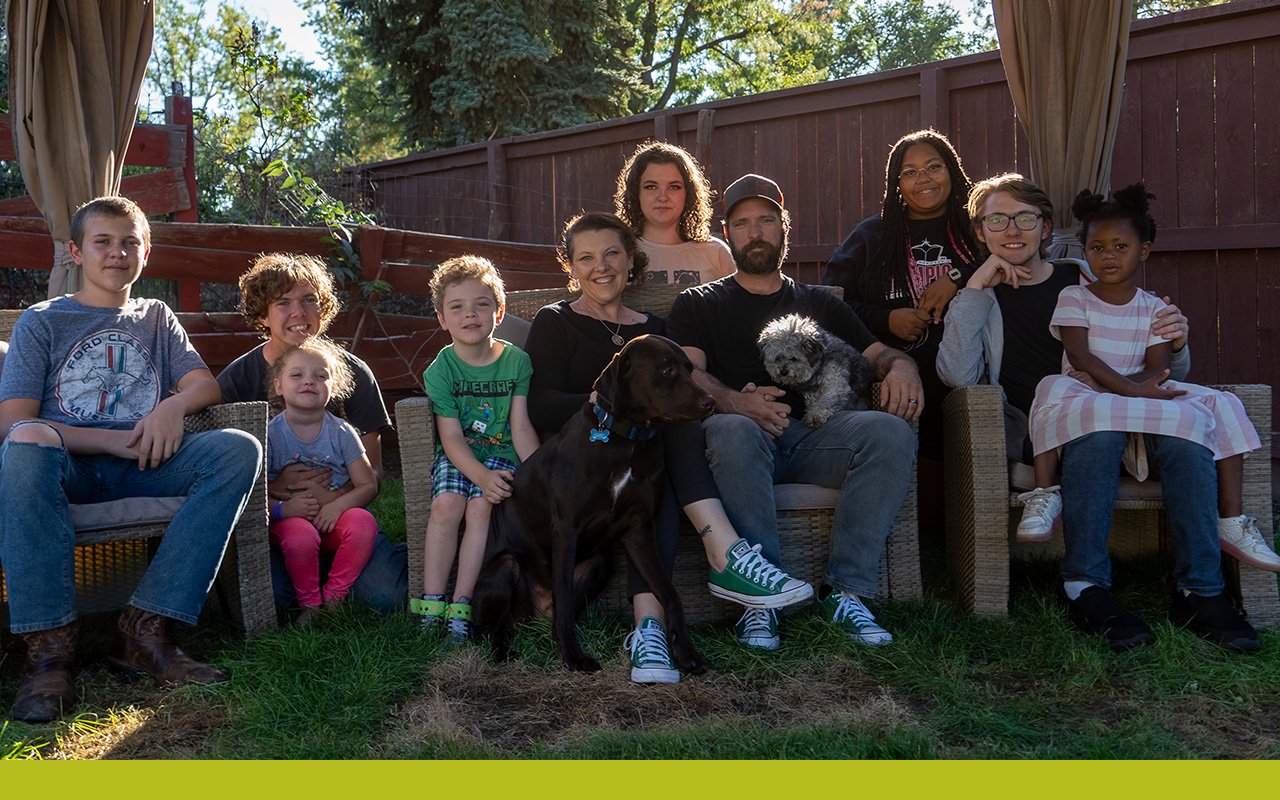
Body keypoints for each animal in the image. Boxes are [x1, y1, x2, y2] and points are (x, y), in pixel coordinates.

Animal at [473, 332, 711, 675]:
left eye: (690, 368)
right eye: (666, 370)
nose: (710, 402)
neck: (627, 440)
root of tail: (533, 612)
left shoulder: (639, 532)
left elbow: (670, 592)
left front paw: (686, 652)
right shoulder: (566, 530)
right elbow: (564, 597)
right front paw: (573, 657)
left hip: (599, 564)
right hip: (504, 567)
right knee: (493, 628)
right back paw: (503, 652)